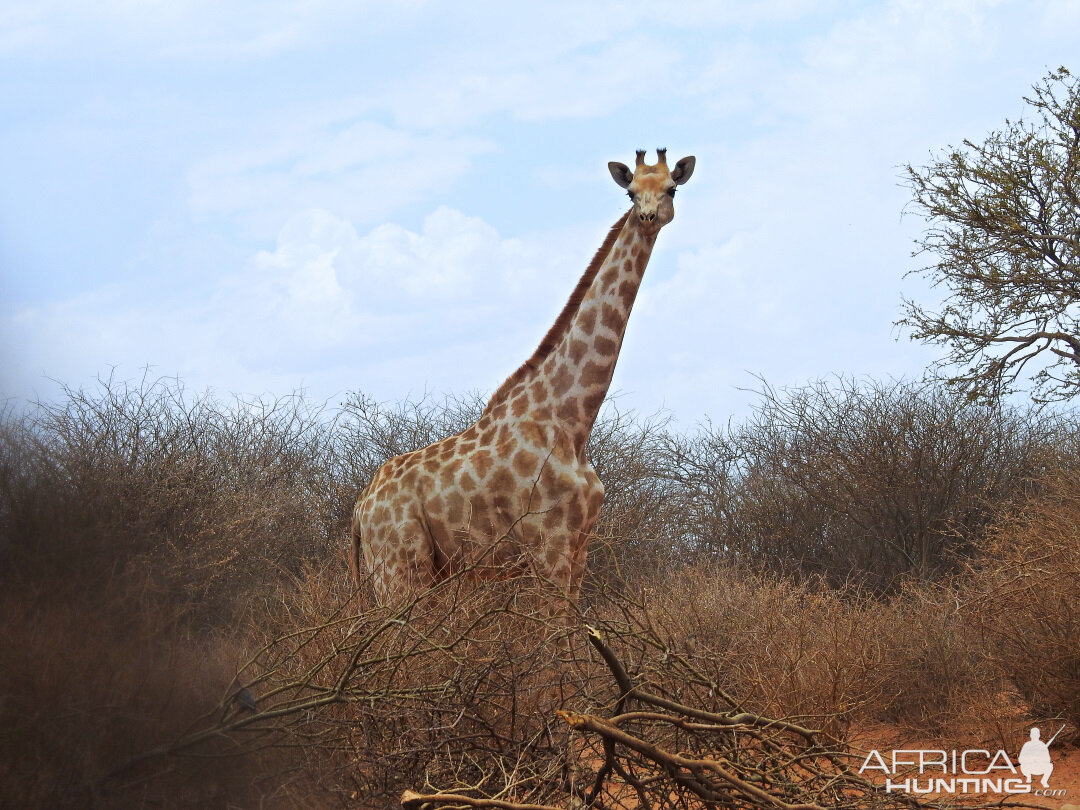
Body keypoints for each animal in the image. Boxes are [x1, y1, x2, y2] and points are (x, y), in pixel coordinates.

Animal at [349, 151, 695, 609]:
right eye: (631, 192)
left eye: (671, 189)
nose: (648, 216)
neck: (573, 422)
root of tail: (359, 510)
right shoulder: (550, 546)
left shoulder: (579, 548)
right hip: (399, 570)